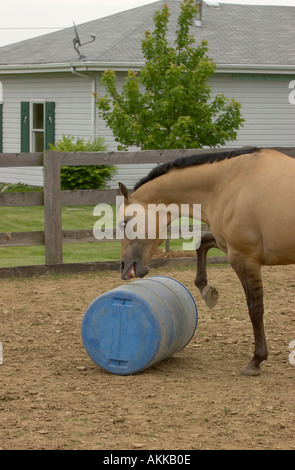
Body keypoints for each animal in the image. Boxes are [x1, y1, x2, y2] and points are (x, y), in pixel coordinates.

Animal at [119, 149, 295, 376]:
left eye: (125, 222)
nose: (124, 267)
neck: (229, 181)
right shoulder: (228, 247)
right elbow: (202, 243)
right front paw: (206, 289)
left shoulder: (244, 258)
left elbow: (255, 309)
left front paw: (256, 360)